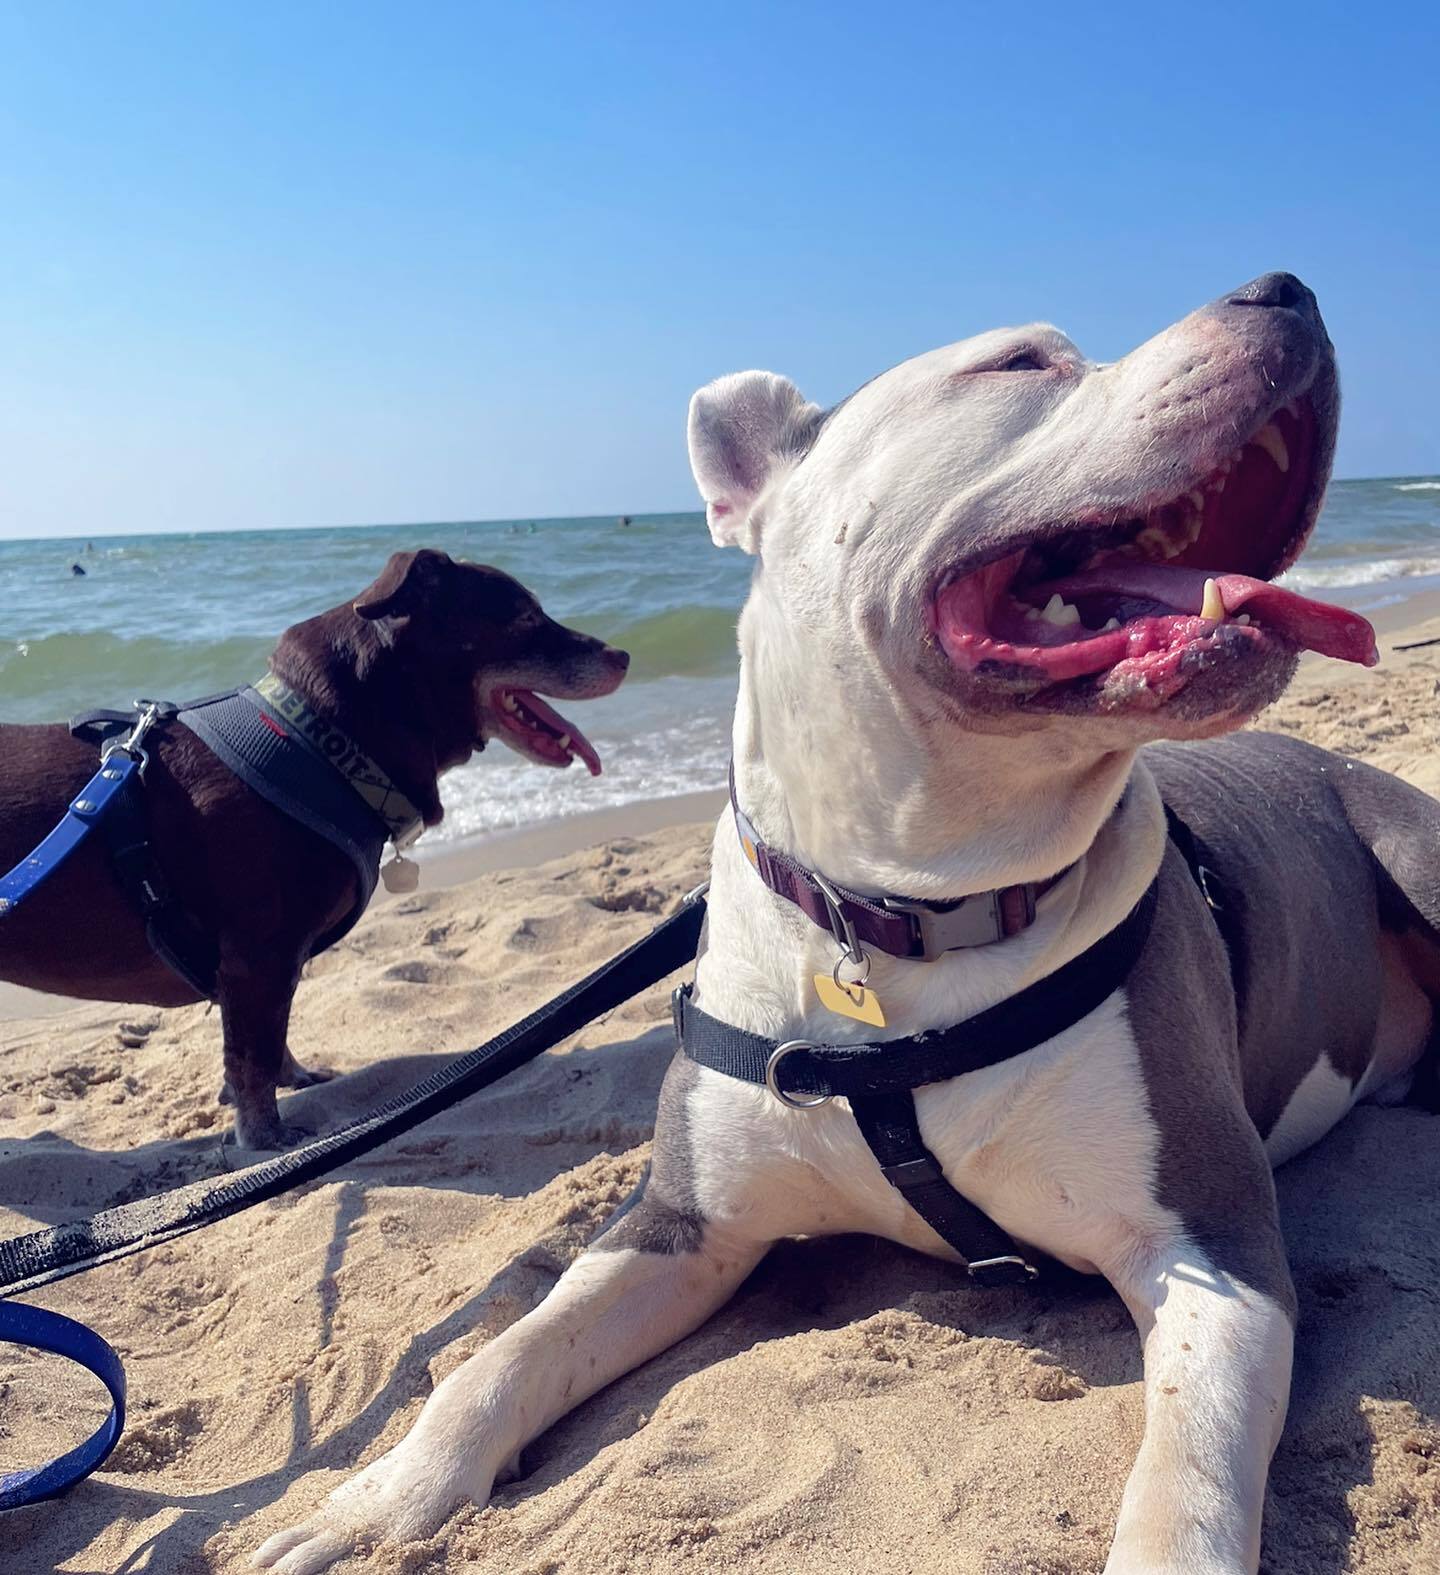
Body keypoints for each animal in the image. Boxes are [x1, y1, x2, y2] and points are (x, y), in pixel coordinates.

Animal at [1, 551, 630, 1146]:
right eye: (524, 617)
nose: (624, 655)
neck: (323, 742)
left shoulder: (272, 967)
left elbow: (272, 1038)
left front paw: (295, 1079)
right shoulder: (258, 956)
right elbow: (252, 1056)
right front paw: (266, 1137)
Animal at [252, 277, 1430, 1568]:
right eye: (1018, 364)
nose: (1288, 291)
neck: (908, 908)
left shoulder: (1215, 1250)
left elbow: (1186, 1473)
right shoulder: (678, 1227)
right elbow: (498, 1360)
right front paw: (378, 1507)